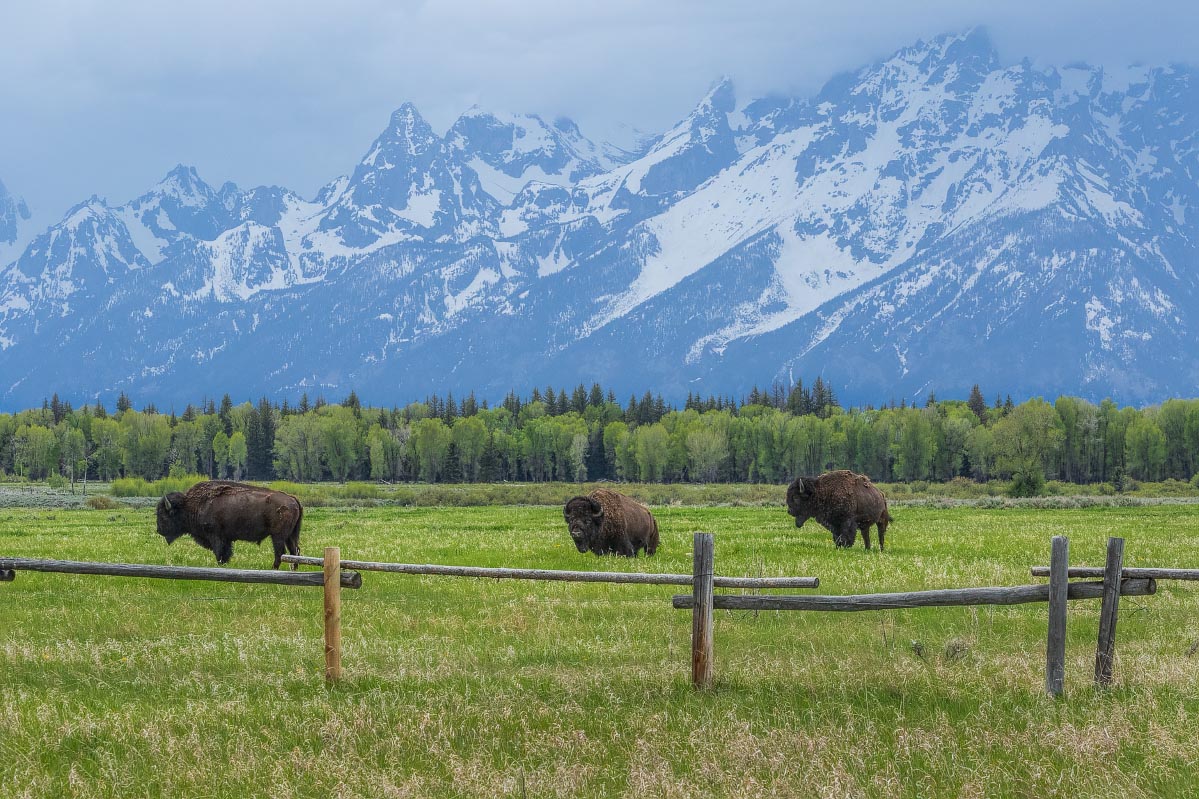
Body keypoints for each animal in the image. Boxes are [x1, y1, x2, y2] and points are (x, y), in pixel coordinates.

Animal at [154, 479, 302, 566]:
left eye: (163, 514)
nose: (159, 530)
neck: (189, 505)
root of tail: (292, 498)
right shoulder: (226, 539)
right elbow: (226, 553)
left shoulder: (215, 536)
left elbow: (219, 553)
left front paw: (220, 565)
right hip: (291, 536)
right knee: (294, 551)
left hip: (277, 536)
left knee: (280, 552)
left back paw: (274, 569)